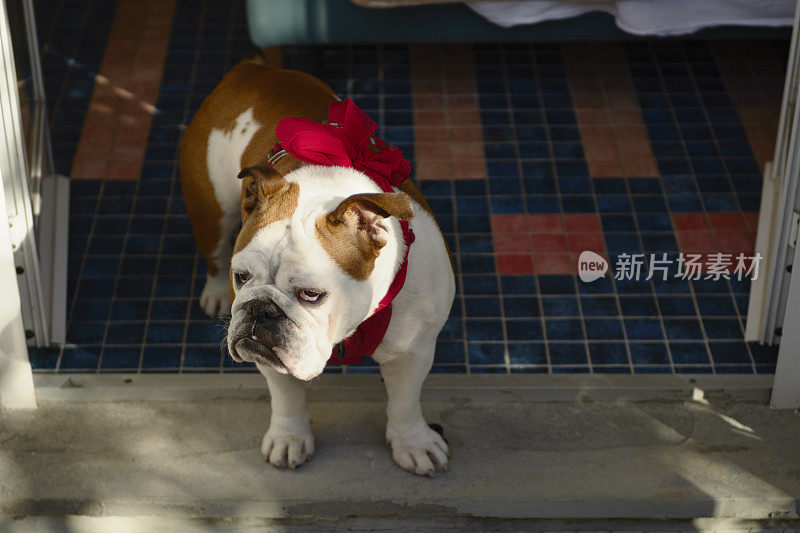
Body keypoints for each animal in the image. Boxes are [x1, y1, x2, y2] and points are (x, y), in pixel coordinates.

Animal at [181, 57, 456, 474]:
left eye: (311, 295)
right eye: (241, 277)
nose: (259, 309)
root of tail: (252, 70)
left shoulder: (413, 351)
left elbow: (405, 401)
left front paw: (413, 442)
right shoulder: (270, 357)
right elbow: (286, 395)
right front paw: (289, 436)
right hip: (211, 210)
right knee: (213, 252)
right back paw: (215, 293)